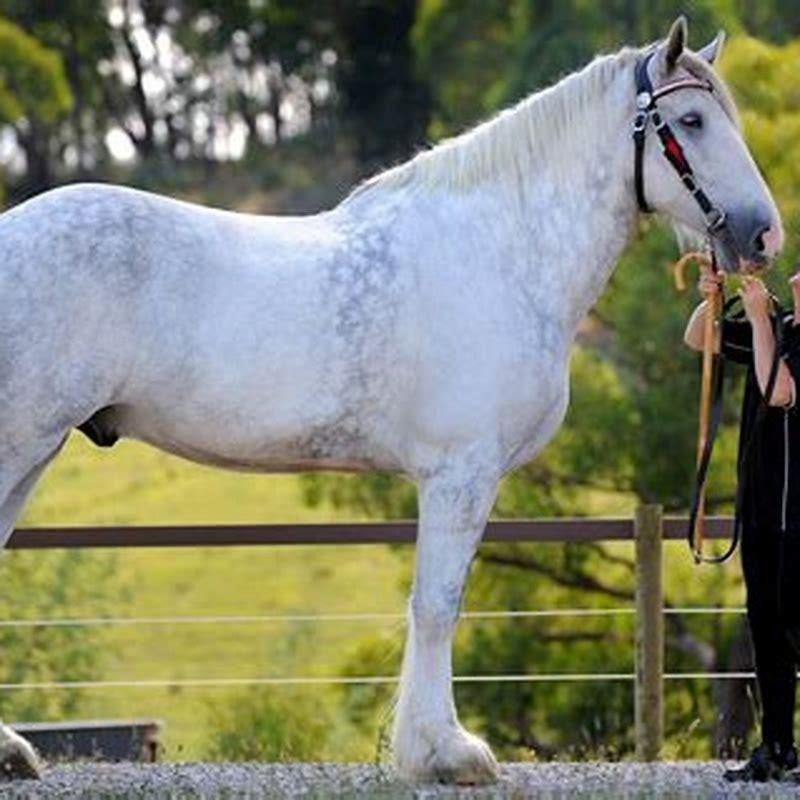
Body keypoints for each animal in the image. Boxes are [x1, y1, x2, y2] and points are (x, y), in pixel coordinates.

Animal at [0, 17, 783, 784]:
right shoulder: (460, 473)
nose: (764, 234)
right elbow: (438, 605)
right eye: (691, 120)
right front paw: (446, 754)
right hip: (23, 441)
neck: (500, 251)